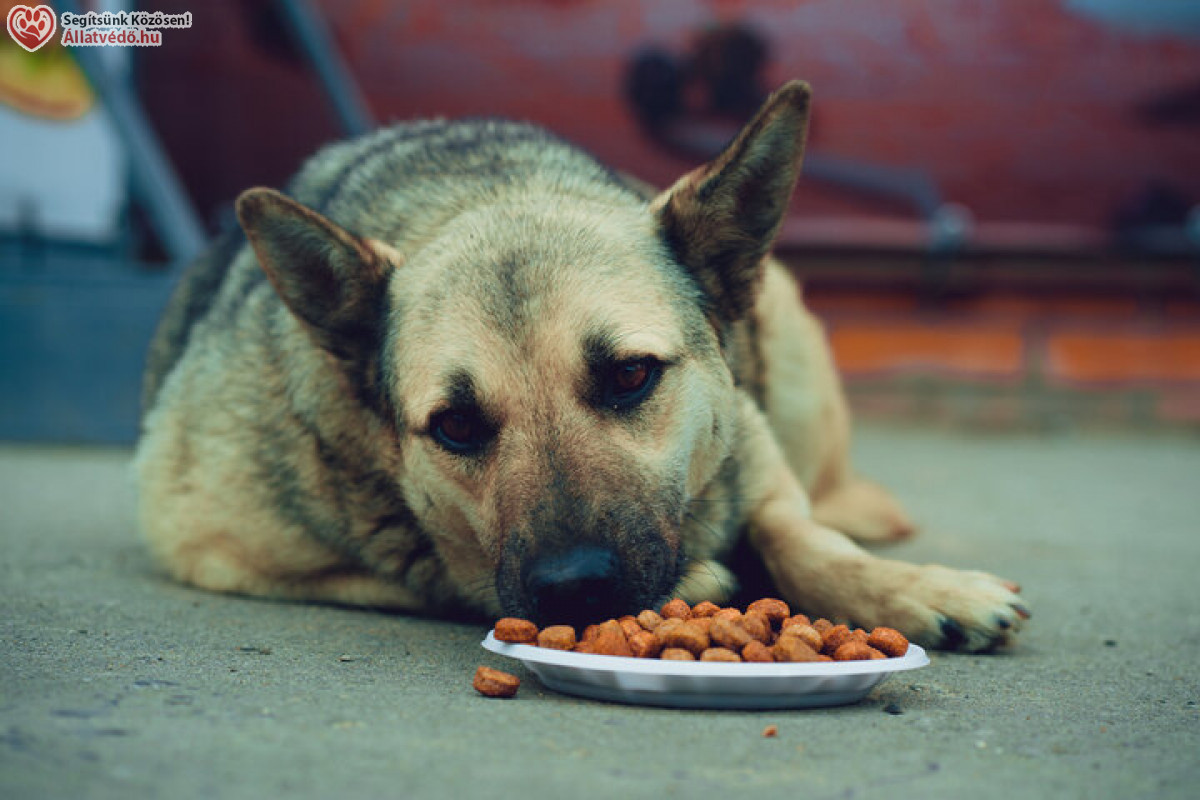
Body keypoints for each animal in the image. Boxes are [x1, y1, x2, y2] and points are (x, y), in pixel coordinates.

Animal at [136, 82, 1027, 652]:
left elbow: (800, 535)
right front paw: (709, 578)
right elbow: (435, 574)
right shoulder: (205, 538)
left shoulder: (756, 453)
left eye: (631, 376)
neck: (479, 196)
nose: (575, 589)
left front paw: (918, 589)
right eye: (455, 425)